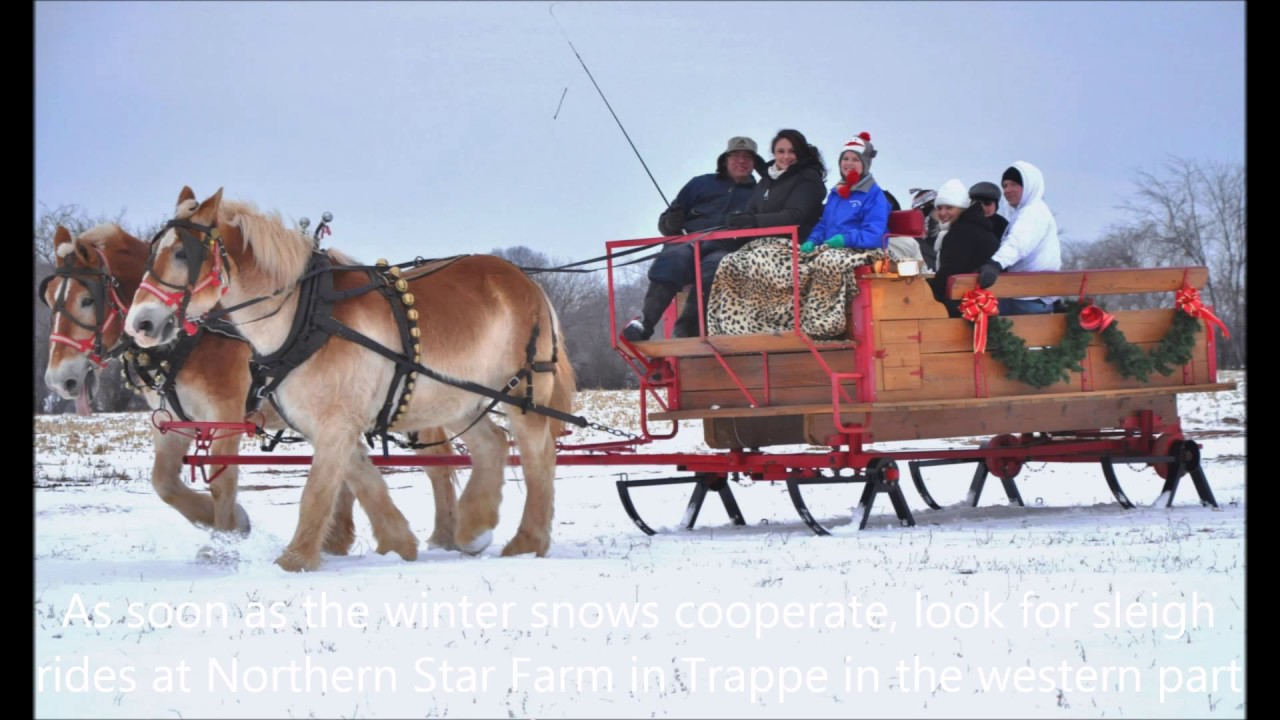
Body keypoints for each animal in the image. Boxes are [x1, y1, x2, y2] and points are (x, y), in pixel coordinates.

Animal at [40, 221, 464, 557]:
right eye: (47, 298)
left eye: (86, 299)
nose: (58, 380)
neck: (193, 337)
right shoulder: (175, 419)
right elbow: (164, 484)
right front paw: (221, 523)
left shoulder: (226, 412)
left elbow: (224, 481)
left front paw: (228, 536)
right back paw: (340, 540)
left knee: (439, 464)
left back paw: (446, 536)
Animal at [124, 187, 577, 572]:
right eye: (151, 255)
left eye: (182, 253)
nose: (141, 323)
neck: (307, 315)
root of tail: (527, 281)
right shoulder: (329, 421)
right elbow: (362, 479)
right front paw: (398, 543)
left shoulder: (333, 420)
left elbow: (316, 491)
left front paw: (295, 559)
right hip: (457, 397)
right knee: (492, 444)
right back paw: (473, 528)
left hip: (523, 391)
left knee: (537, 455)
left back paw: (527, 541)